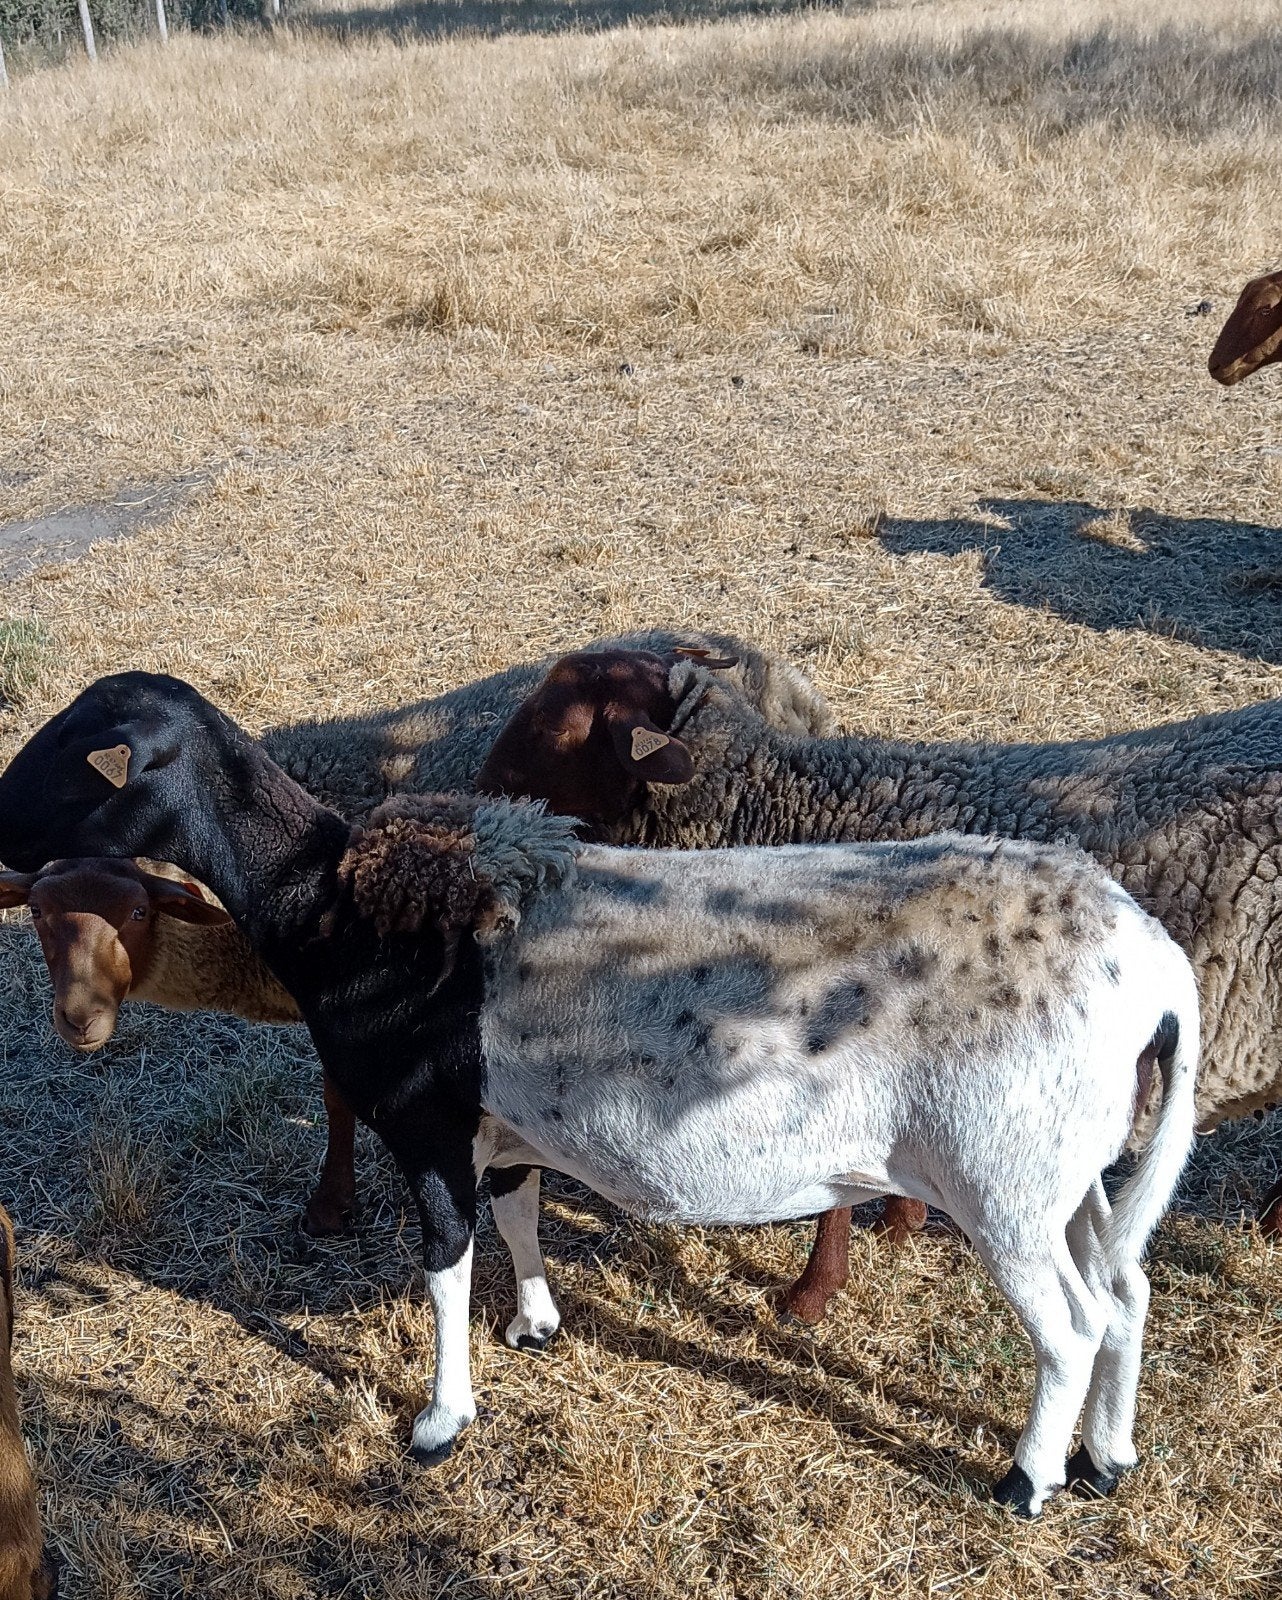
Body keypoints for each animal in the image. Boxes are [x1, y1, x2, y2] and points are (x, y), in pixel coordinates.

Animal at [477, 648, 1282, 1315]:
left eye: (553, 727)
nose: (479, 793)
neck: (782, 805)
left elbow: (833, 1199)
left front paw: (810, 1295)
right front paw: (902, 1221)